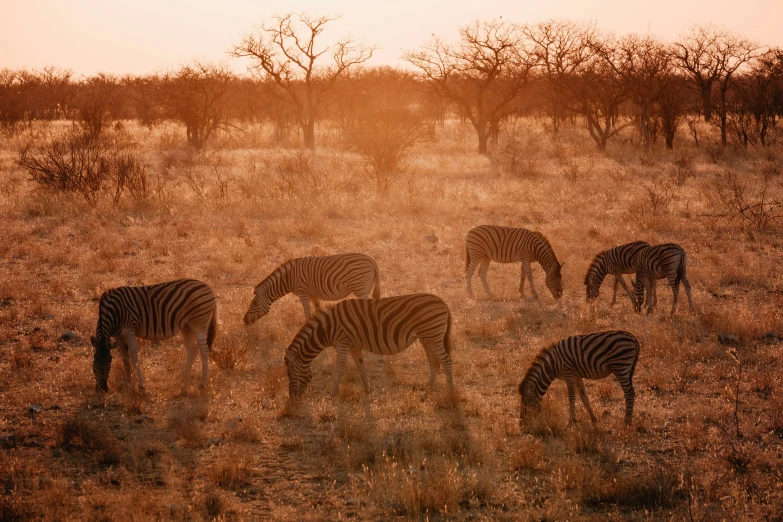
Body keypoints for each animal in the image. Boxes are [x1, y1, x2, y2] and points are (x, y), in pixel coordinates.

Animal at [243, 251, 382, 320]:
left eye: (254, 303)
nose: (244, 321)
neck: (289, 278)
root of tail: (372, 261)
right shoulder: (313, 294)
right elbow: (317, 310)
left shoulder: (303, 292)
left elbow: (307, 312)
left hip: (360, 287)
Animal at [284, 292, 454, 398]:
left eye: (290, 374)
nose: (292, 399)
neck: (328, 328)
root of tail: (443, 302)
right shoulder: (353, 346)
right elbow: (361, 366)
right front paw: (367, 389)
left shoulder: (343, 343)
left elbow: (338, 368)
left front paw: (332, 394)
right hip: (427, 338)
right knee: (434, 363)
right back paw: (427, 394)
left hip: (432, 336)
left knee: (446, 361)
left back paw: (450, 393)